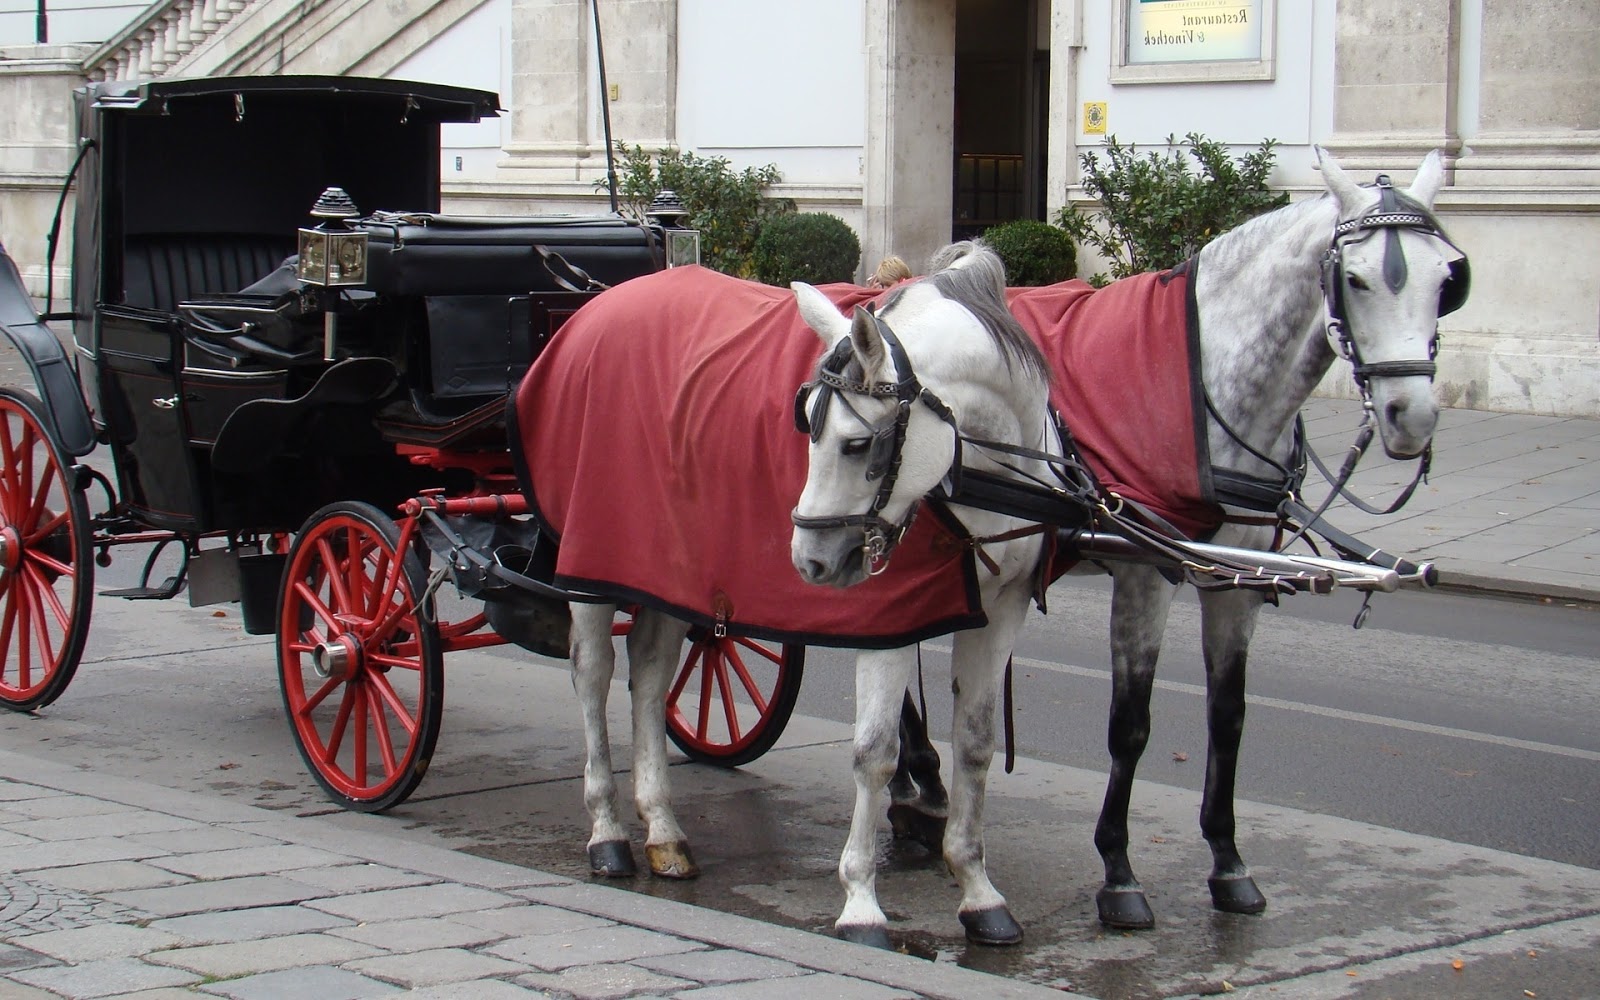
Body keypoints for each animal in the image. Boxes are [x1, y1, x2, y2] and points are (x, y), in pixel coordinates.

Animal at [878, 147, 1470, 931]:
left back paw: (918, 782)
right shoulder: (1144, 576)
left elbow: (1229, 716)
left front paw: (1227, 861)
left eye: (1446, 279)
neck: (1203, 377)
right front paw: (1119, 873)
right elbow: (1130, 724)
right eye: (1357, 278)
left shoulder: (1232, 580)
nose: (1412, 416)